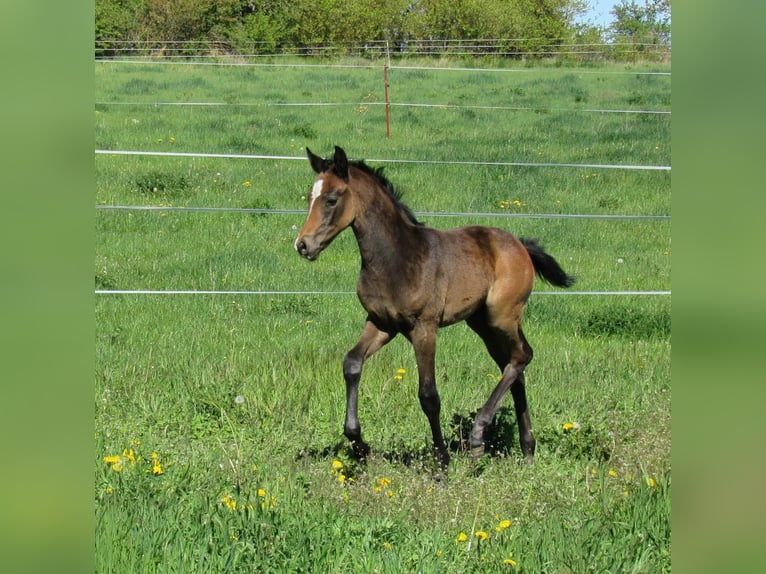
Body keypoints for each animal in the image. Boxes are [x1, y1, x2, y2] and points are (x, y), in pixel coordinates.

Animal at [294, 146, 574, 472]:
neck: (396, 258)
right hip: (482, 323)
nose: (303, 245)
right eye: (309, 197)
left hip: (501, 316)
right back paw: (526, 449)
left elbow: (429, 395)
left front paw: (442, 461)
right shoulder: (381, 323)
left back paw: (478, 437)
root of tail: (519, 244)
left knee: (522, 356)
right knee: (513, 366)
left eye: (331, 199)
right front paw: (359, 444)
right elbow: (351, 364)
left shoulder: (424, 327)